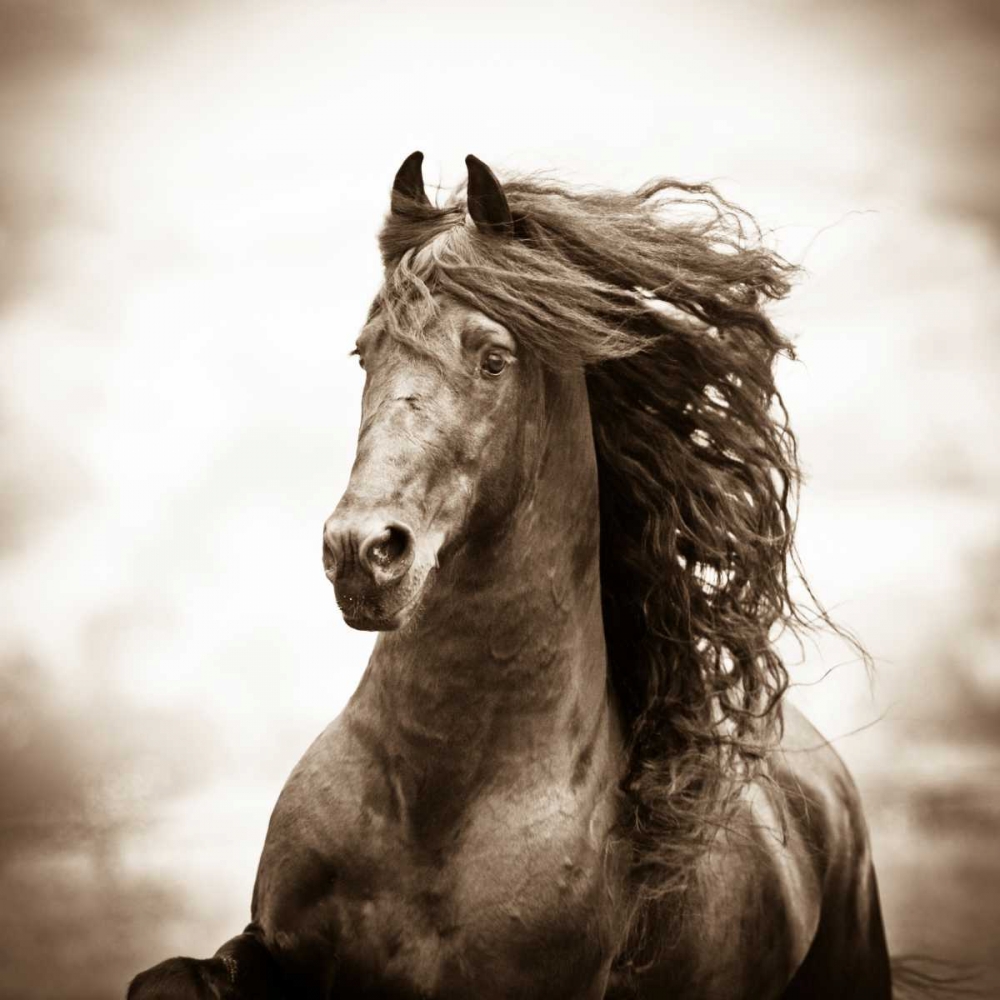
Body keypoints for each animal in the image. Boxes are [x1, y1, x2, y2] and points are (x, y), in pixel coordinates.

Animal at [128, 152, 896, 998]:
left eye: (493, 358)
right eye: (365, 352)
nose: (361, 552)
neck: (436, 800)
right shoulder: (276, 949)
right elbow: (166, 979)